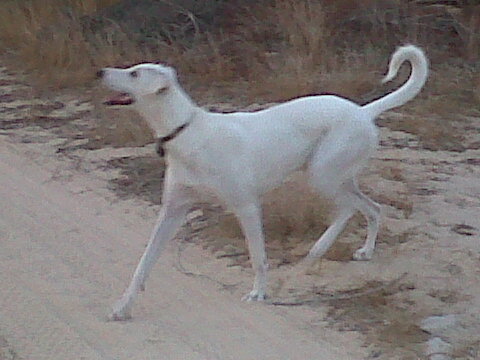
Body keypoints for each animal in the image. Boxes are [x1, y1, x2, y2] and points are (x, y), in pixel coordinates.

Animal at [97, 45, 428, 320]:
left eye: (134, 73)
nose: (100, 72)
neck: (186, 131)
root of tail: (362, 111)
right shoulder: (172, 212)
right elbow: (144, 263)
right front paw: (123, 306)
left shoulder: (246, 207)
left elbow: (258, 258)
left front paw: (259, 292)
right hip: (338, 177)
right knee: (372, 208)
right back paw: (363, 251)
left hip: (322, 175)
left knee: (348, 209)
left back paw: (317, 249)